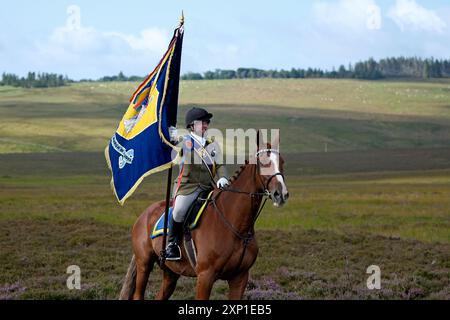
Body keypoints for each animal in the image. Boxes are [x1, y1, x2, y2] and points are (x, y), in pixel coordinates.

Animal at [118, 132, 288, 300]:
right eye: (263, 162)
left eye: (282, 162)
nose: (281, 194)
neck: (236, 225)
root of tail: (144, 214)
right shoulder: (205, 276)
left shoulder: (240, 278)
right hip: (144, 264)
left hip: (171, 272)